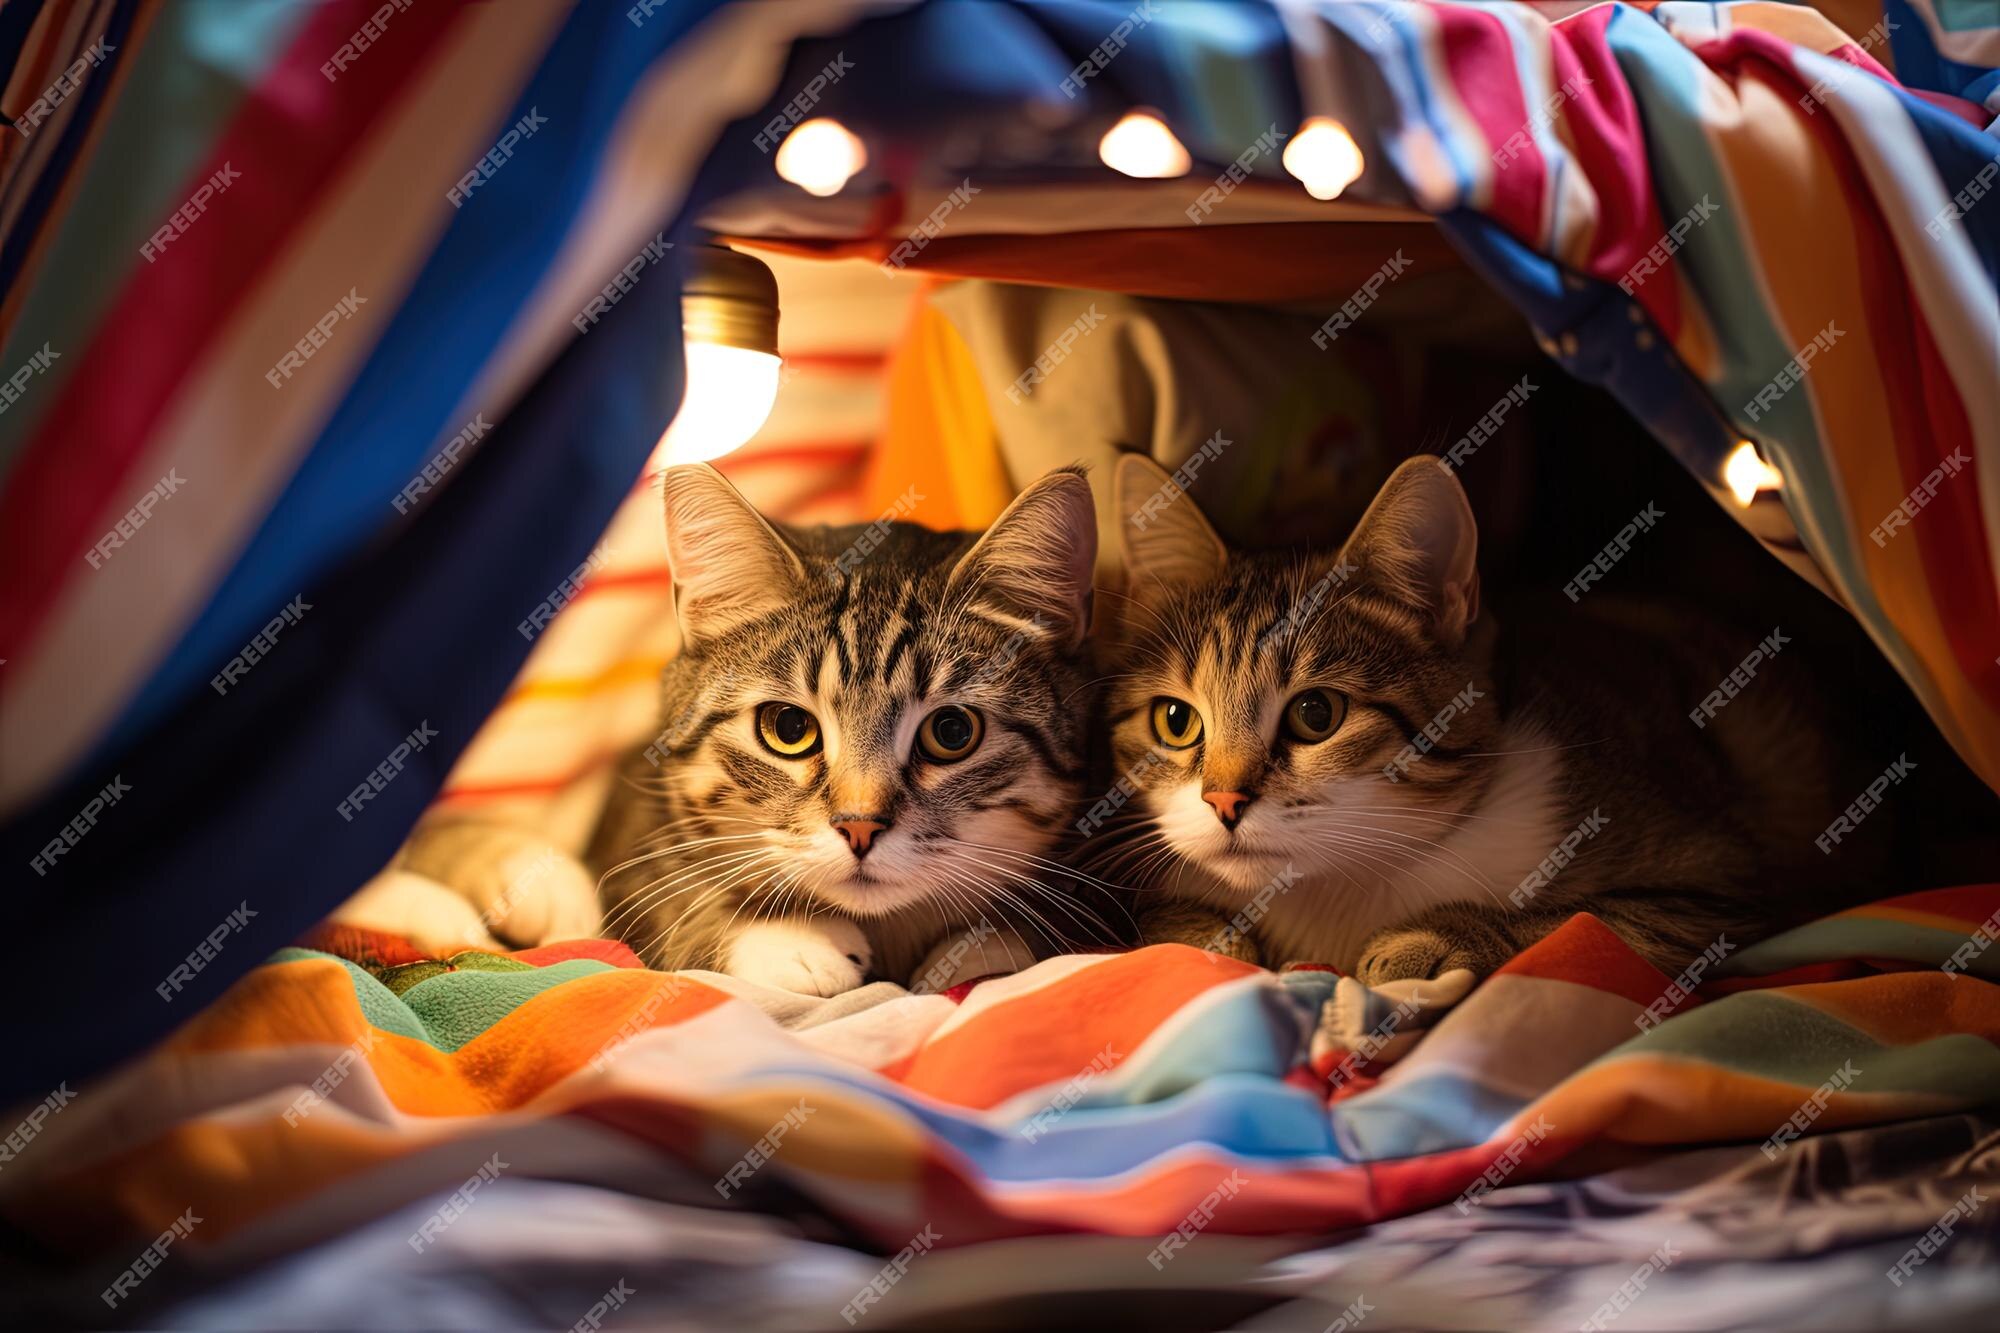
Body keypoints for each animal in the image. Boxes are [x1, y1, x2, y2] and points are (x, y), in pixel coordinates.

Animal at [580, 462, 1112, 992]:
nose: (859, 827)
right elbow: (675, 899)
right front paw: (789, 938)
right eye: (789, 727)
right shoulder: (635, 842)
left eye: (952, 732)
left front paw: (988, 947)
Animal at [1104, 452, 1880, 980]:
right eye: (1176, 721)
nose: (1223, 800)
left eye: (1316, 713)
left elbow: (1577, 922)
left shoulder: (1718, 886)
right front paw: (1204, 937)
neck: (1338, 885)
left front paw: (1438, 936)